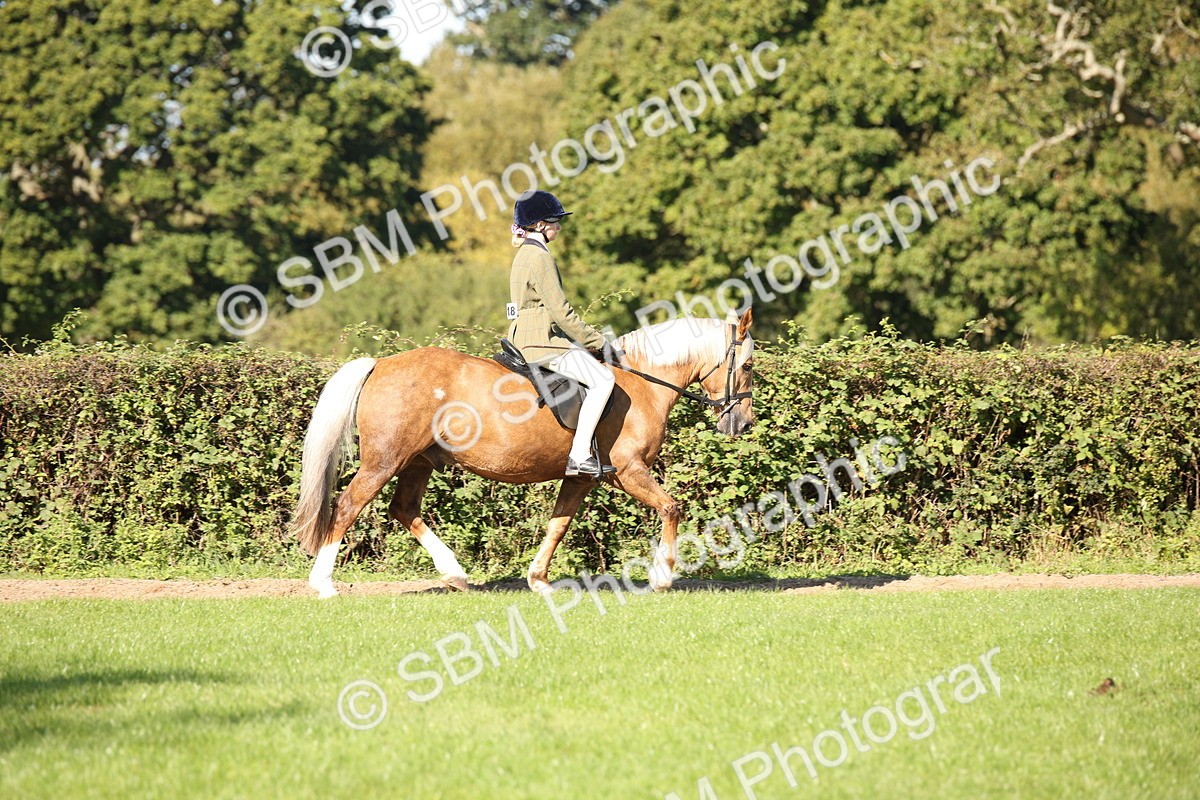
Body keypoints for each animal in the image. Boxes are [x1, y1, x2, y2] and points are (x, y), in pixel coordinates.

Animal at [292, 310, 755, 598]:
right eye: (749, 365)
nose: (744, 424)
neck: (642, 383)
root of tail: (381, 364)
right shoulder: (628, 470)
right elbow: (672, 507)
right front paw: (661, 576)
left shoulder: (580, 477)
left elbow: (558, 525)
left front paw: (538, 581)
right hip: (384, 461)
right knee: (349, 505)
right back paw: (324, 584)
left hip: (417, 463)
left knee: (404, 509)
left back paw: (455, 574)